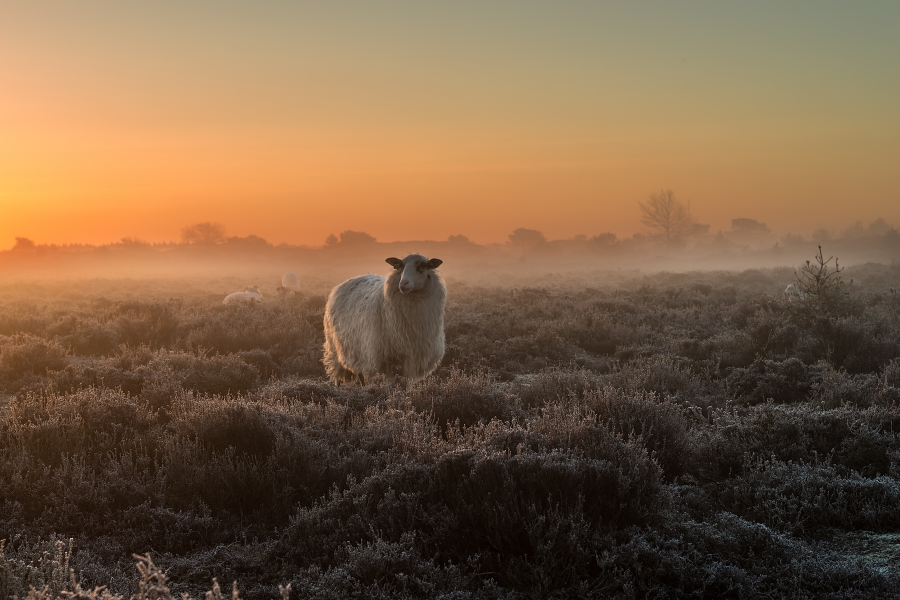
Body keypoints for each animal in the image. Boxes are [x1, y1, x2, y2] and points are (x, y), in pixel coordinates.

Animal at [323, 254, 446, 384]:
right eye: (400, 266)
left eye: (422, 265)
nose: (403, 283)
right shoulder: (385, 357)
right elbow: (390, 381)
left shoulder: (412, 358)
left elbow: (408, 383)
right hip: (335, 347)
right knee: (338, 376)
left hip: (357, 350)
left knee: (360, 374)